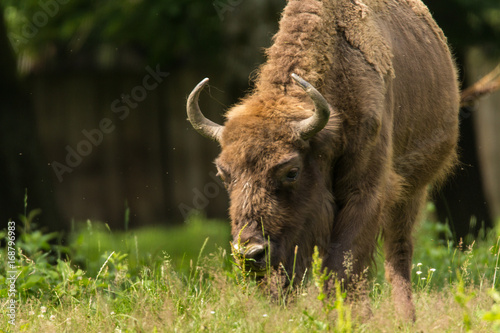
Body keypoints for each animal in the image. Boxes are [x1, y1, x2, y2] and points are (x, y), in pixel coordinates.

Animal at [187, 0, 458, 318]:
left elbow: (342, 264)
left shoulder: (364, 193)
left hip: (413, 191)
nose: (250, 253)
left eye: (291, 172)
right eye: (223, 174)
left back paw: (406, 319)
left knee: (398, 255)